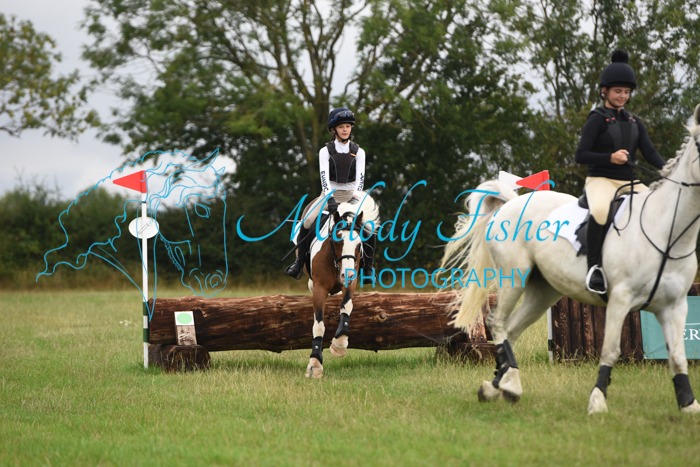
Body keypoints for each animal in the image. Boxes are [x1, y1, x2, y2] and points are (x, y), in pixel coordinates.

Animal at [302, 193, 380, 378]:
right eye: (337, 241)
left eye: (359, 245)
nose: (347, 275)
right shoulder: (319, 288)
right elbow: (318, 325)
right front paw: (315, 364)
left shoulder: (351, 282)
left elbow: (347, 307)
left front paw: (339, 345)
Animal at [441, 104, 700, 414]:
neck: (666, 231)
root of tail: (510, 204)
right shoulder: (620, 299)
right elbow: (611, 350)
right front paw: (598, 401)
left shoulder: (675, 306)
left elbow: (678, 356)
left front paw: (688, 405)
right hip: (514, 277)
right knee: (497, 322)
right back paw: (510, 383)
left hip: (543, 291)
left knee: (511, 330)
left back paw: (497, 385)